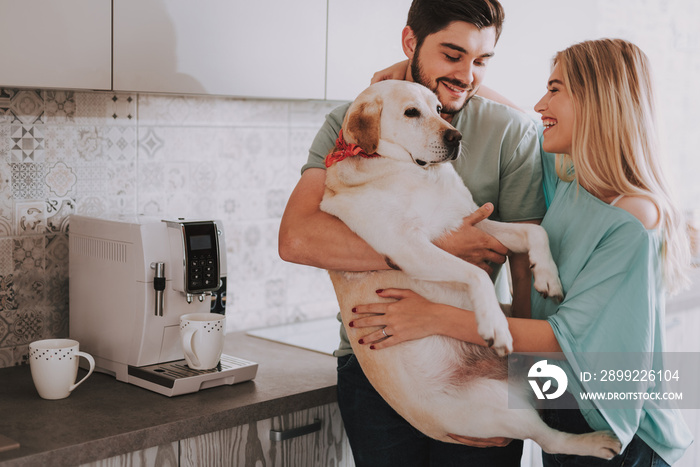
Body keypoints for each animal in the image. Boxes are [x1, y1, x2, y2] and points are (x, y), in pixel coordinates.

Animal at [320, 79, 620, 458]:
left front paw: (547, 275)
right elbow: (476, 274)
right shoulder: (408, 246)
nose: (456, 136)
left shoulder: (469, 221)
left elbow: (534, 232)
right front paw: (495, 325)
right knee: (549, 438)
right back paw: (595, 442)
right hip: (498, 406)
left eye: (438, 109)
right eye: (411, 112)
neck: (416, 172)